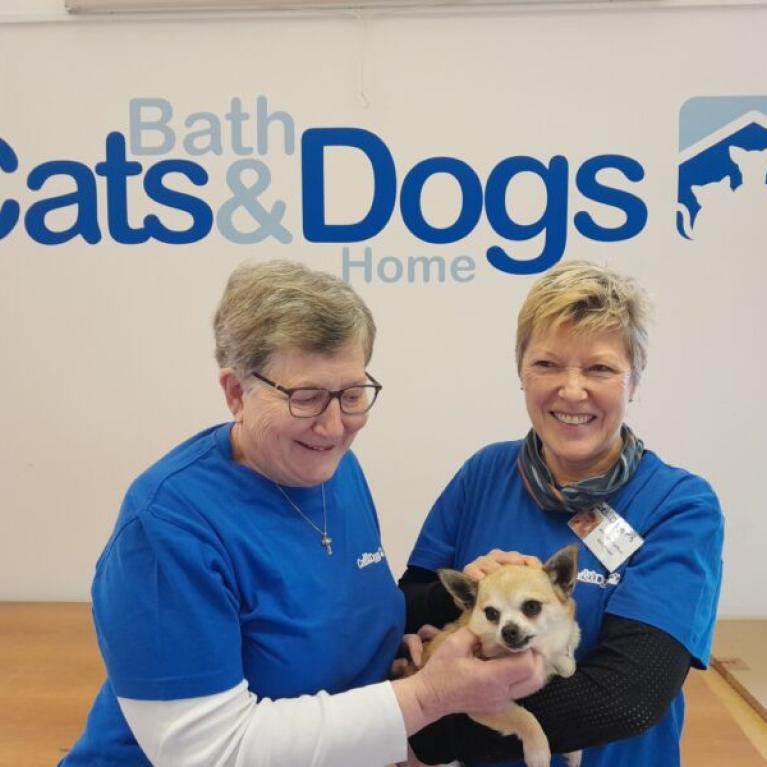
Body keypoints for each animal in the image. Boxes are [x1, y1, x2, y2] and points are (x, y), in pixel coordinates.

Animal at [424, 544, 580, 767]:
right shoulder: (483, 705)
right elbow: (523, 716)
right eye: (491, 614)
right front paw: (538, 751)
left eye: (532, 606)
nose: (508, 630)